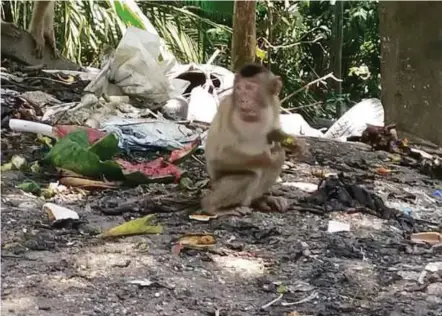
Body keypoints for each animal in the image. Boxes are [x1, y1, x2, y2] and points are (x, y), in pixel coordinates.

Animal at [202, 64, 288, 217]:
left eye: (250, 88)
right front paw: (265, 157)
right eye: (239, 89)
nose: (243, 100)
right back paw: (214, 207)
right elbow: (217, 156)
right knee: (249, 176)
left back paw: (261, 199)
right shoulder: (226, 107)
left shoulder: (275, 103)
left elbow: (275, 137)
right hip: (217, 184)